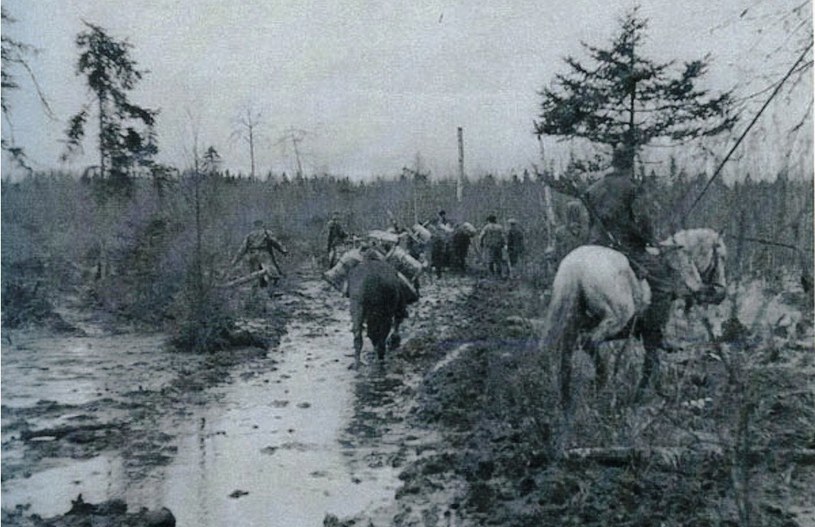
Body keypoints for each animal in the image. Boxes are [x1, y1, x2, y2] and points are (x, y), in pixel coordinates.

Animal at [540, 228, 728, 408]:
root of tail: (576, 265)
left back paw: (566, 401)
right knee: (588, 342)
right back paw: (600, 380)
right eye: (721, 256)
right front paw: (639, 397)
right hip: (615, 319)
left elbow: (653, 362)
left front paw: (659, 393)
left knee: (565, 355)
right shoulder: (650, 332)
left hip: (572, 323)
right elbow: (650, 364)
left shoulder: (644, 333)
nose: (720, 293)